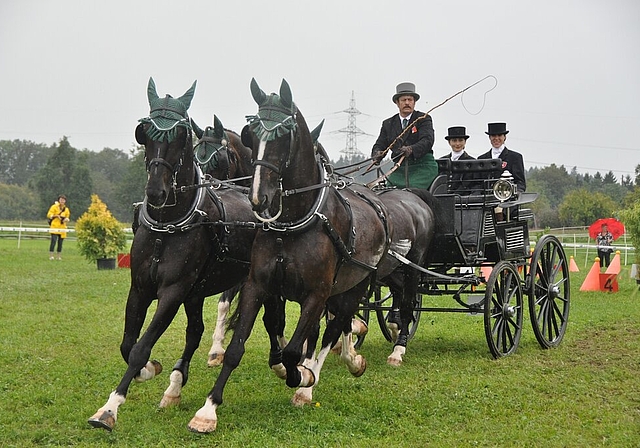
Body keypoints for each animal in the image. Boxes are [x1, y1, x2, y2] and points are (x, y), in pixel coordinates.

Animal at [87, 79, 258, 432]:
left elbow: (141, 346)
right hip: (196, 292)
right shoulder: (140, 288)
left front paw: (110, 409)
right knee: (195, 332)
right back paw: (176, 387)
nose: (156, 192)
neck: (167, 226)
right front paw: (149, 371)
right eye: (145, 133)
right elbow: (129, 344)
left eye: (180, 136)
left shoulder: (172, 292)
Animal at [182, 79, 438, 432]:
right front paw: (208, 409)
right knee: (348, 318)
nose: (259, 198)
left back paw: (380, 352)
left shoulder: (316, 293)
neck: (294, 221)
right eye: (251, 134)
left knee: (383, 309)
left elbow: (296, 348)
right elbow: (241, 342)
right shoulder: (257, 285)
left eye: (284, 134)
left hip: (386, 276)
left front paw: (303, 376)